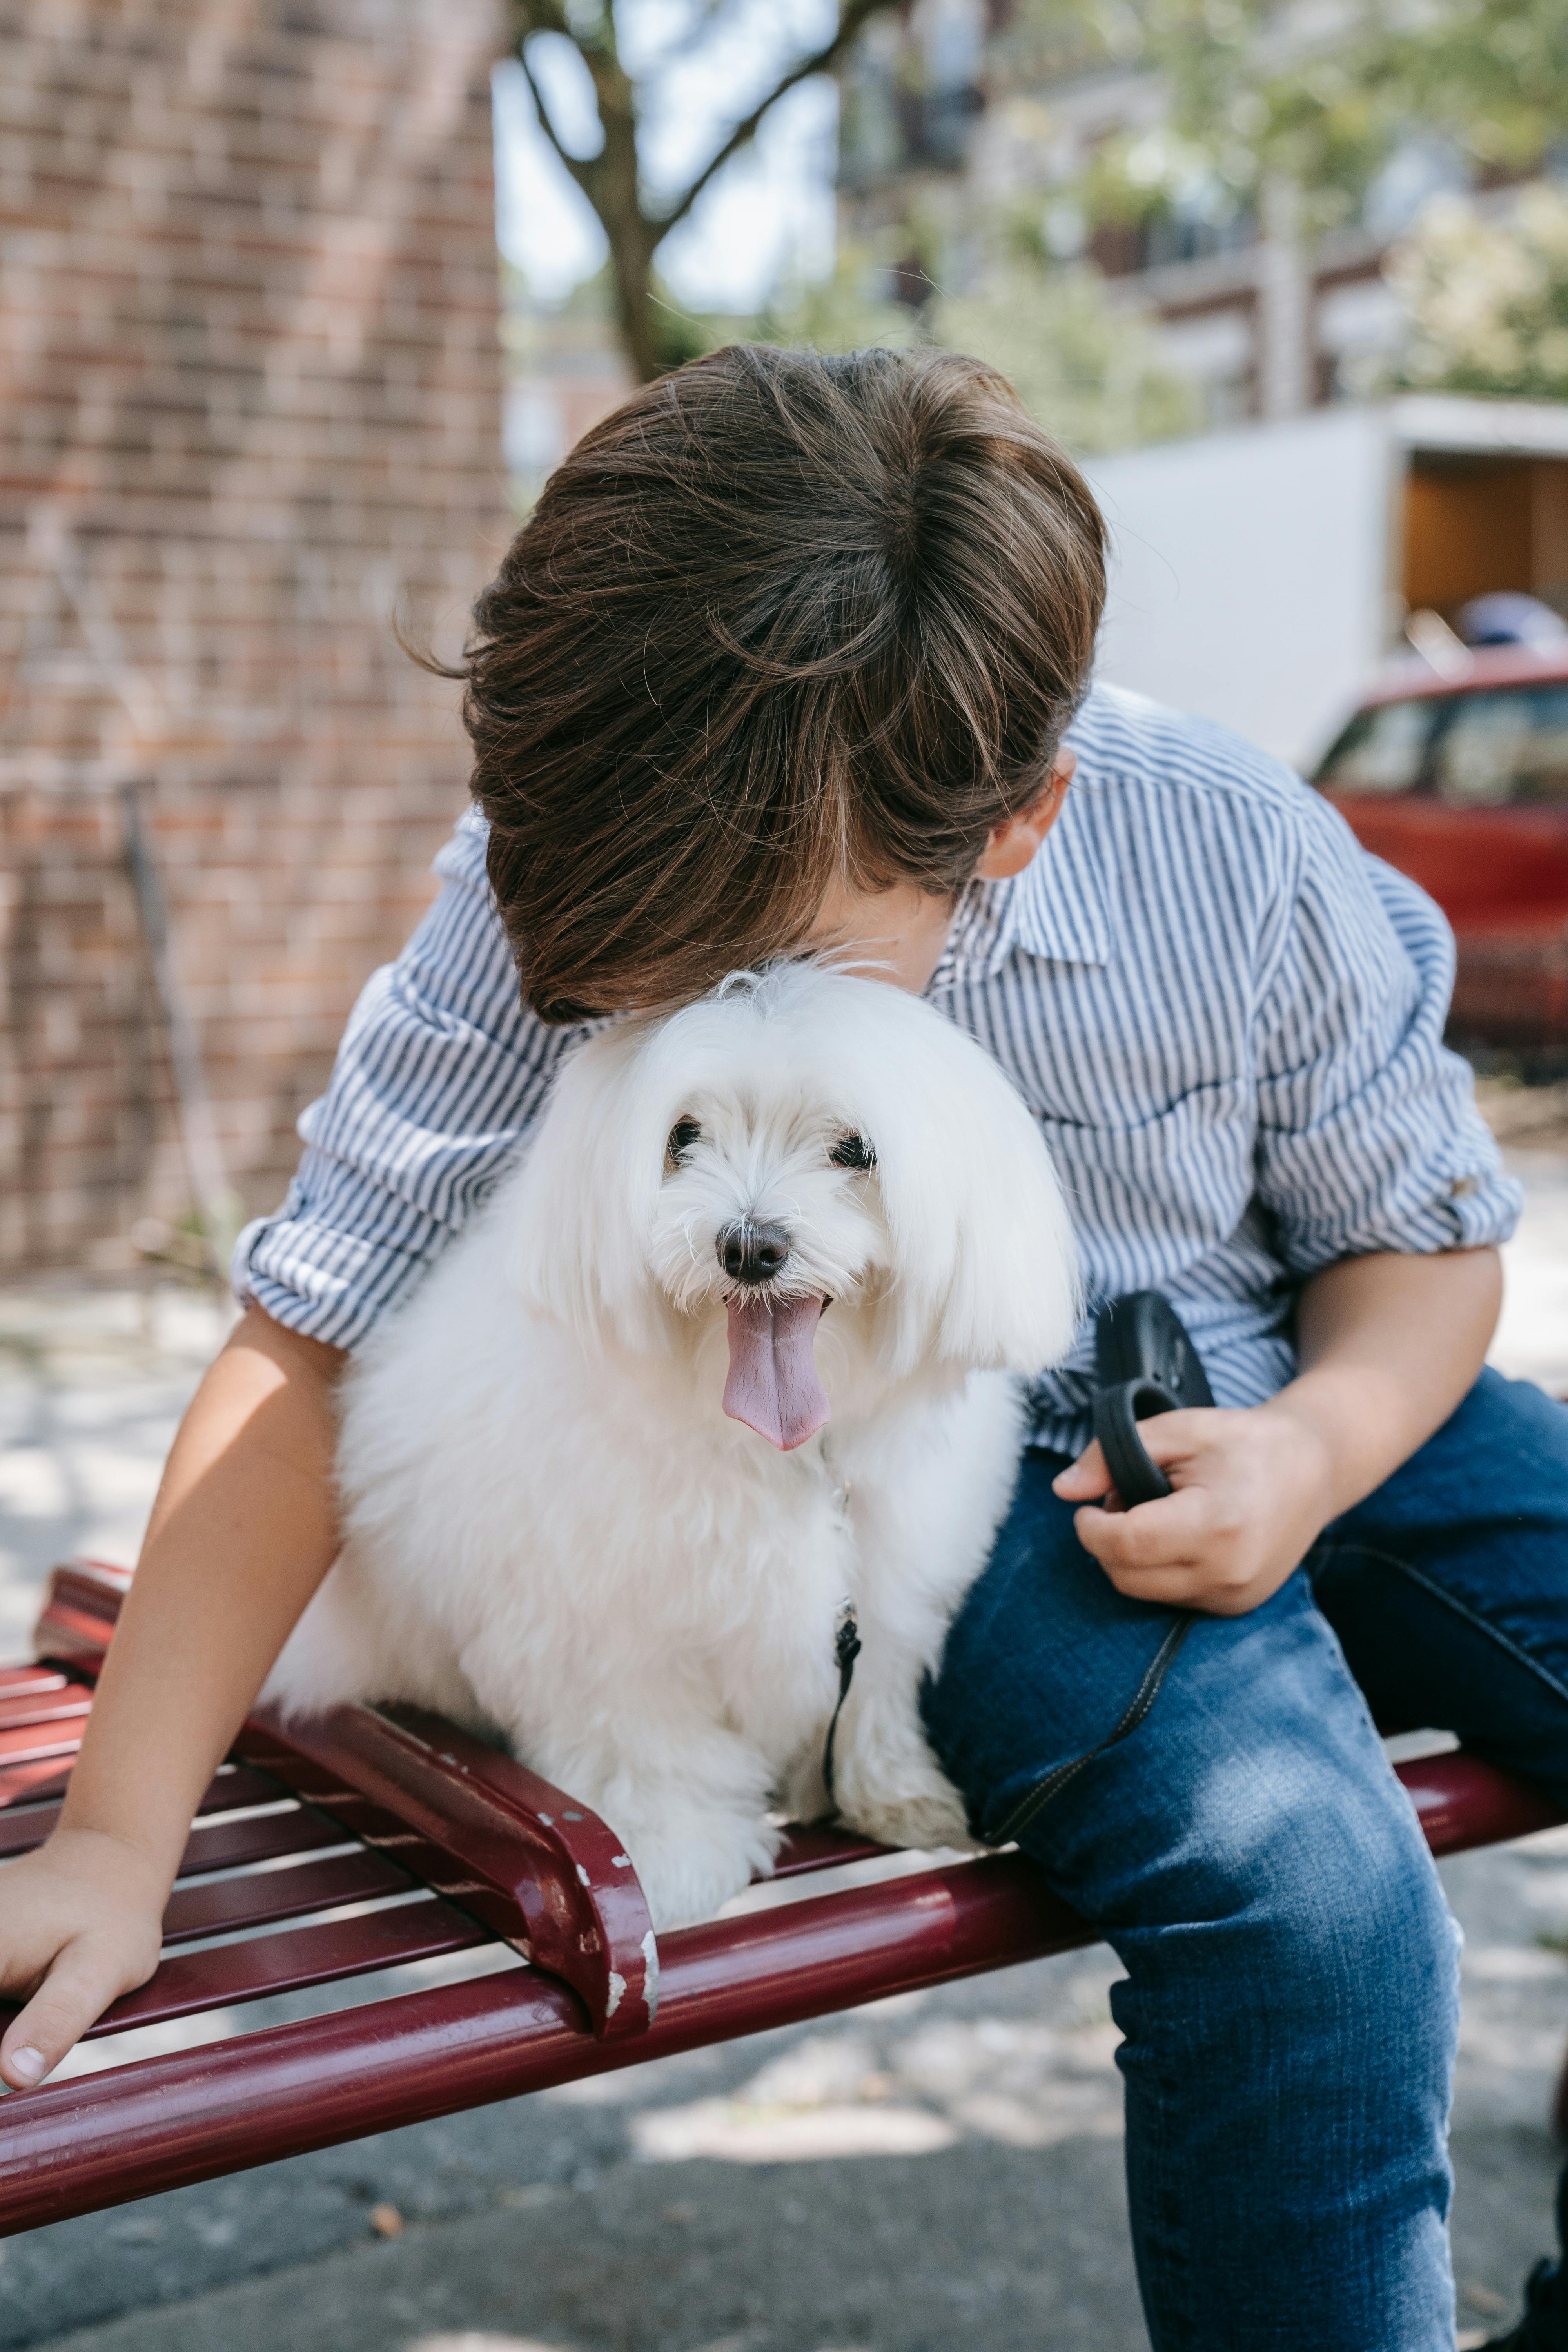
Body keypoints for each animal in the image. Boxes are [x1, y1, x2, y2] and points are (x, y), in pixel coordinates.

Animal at [270, 960, 1081, 1929]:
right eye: (683, 1137)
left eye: (855, 1150)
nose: (749, 1246)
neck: (769, 1445)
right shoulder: (603, 1631)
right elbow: (644, 1744)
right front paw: (672, 1856)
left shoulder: (884, 1595)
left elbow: (872, 1693)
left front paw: (890, 1791)